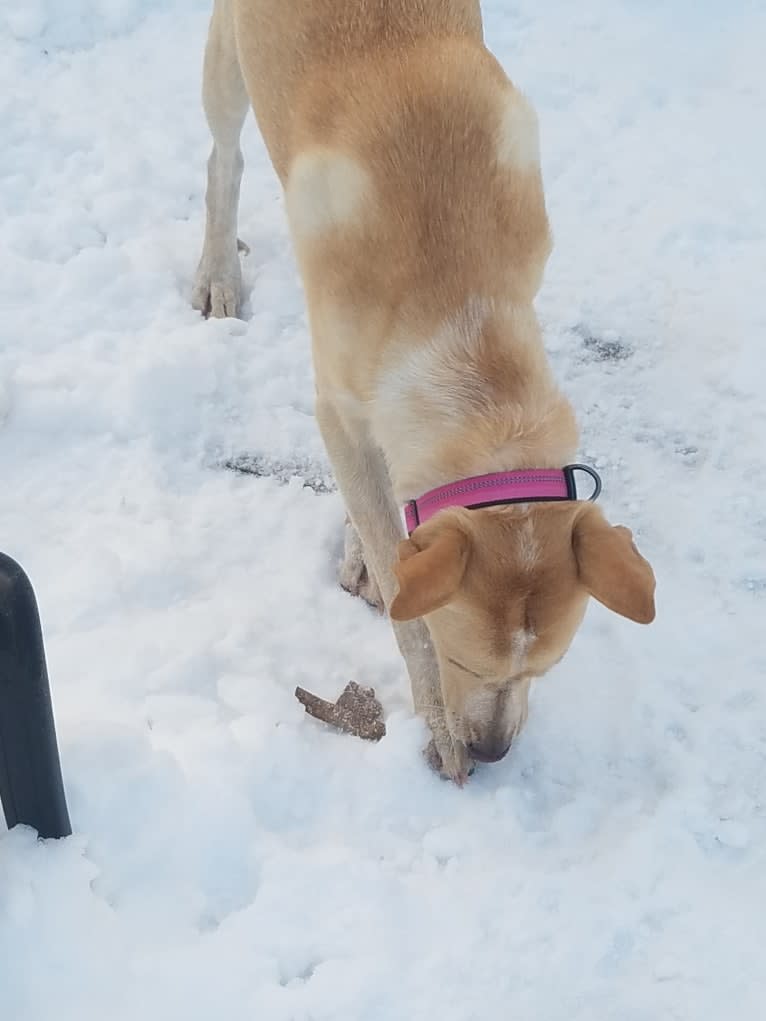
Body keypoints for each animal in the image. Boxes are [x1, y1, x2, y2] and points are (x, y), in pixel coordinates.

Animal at [193, 0, 661, 784]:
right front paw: (437, 720)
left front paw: (363, 546)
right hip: (227, 64)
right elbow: (395, 577)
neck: (458, 302)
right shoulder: (336, 406)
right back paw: (218, 269)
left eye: (544, 669)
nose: (495, 752)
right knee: (223, 159)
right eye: (460, 659)